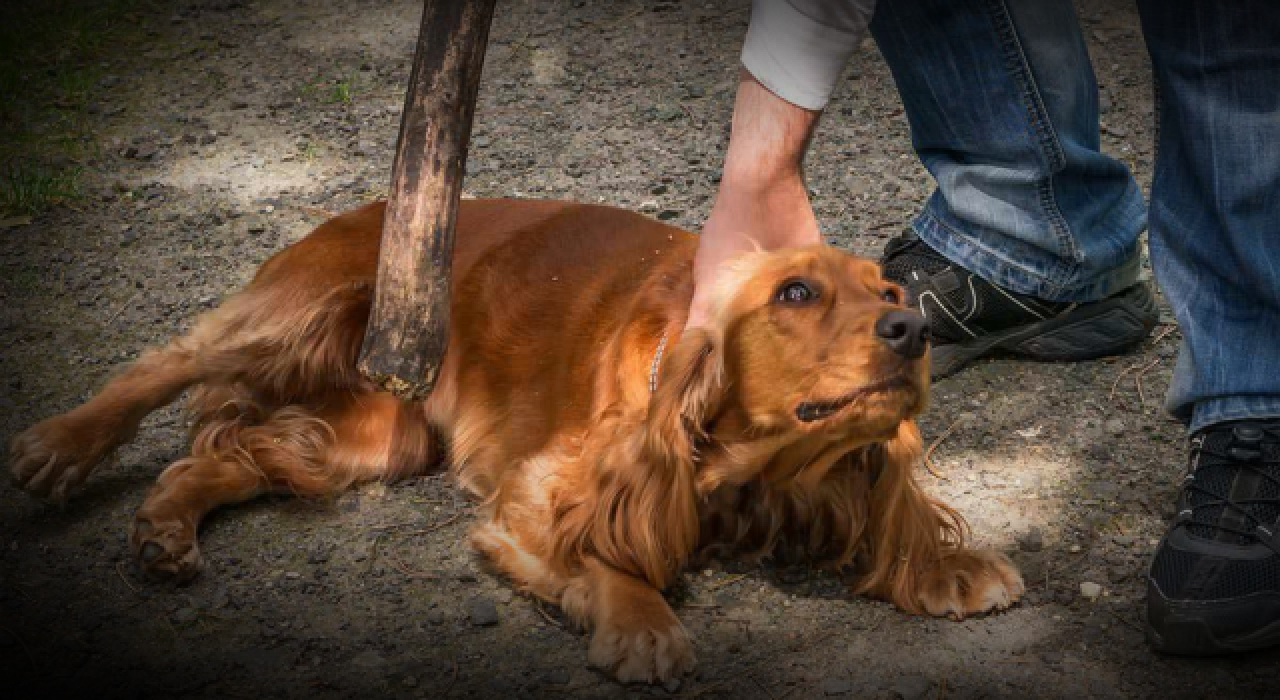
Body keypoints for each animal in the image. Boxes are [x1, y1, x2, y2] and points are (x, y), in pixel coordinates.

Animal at [10, 197, 1024, 685]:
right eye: (796, 293)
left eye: (890, 293)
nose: (912, 331)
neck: (751, 468)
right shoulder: (533, 500)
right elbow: (608, 556)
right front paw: (645, 626)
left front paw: (945, 568)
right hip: (296, 309)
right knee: (167, 359)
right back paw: (60, 445)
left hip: (381, 432)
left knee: (230, 454)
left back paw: (163, 531)